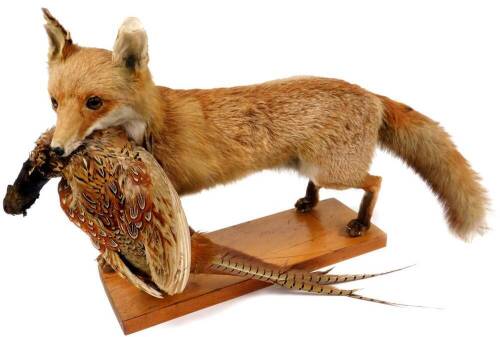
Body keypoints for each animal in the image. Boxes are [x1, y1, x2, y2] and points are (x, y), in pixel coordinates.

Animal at [43, 7, 488, 239]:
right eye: (53, 103)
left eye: (94, 102)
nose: (55, 149)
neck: (149, 127)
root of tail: (368, 93)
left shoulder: (173, 190)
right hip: (312, 167)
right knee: (321, 185)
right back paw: (310, 203)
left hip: (336, 170)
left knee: (375, 182)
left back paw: (361, 222)